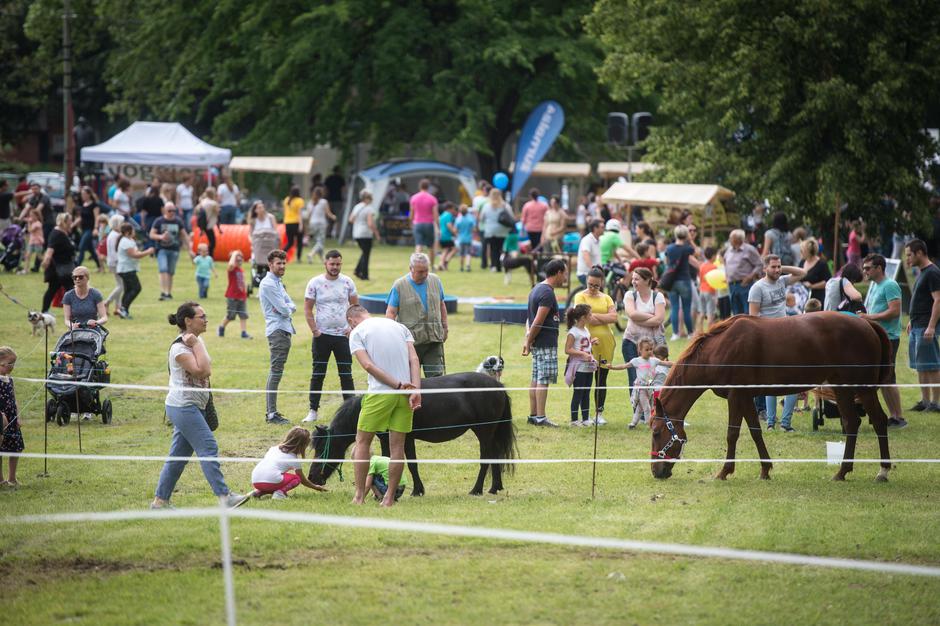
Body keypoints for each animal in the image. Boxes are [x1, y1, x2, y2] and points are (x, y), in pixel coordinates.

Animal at [306, 372, 516, 494]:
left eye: (322, 448)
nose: (312, 477)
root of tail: (498, 386)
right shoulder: (387, 439)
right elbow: (387, 459)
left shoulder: (406, 439)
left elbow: (412, 464)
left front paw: (416, 490)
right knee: (495, 457)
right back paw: (494, 488)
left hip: (484, 432)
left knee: (486, 459)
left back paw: (477, 489)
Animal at [648, 310, 892, 480]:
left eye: (656, 432)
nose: (656, 471)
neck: (718, 349)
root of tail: (866, 323)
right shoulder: (746, 398)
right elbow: (756, 431)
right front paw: (765, 469)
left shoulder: (736, 397)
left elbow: (732, 434)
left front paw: (724, 471)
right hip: (842, 388)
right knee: (852, 422)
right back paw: (843, 471)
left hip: (862, 388)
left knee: (879, 420)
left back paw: (882, 471)